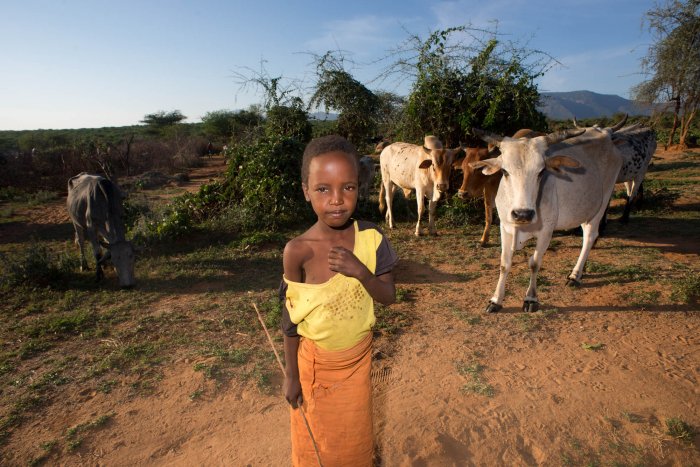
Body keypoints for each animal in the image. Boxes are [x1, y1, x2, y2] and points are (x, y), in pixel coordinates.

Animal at [474, 127, 620, 314]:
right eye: (505, 171)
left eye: (541, 172)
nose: (523, 214)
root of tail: (604, 132)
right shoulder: (505, 227)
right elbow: (504, 264)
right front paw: (495, 300)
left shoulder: (546, 231)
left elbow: (534, 263)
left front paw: (530, 298)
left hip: (602, 202)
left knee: (590, 236)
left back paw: (575, 275)